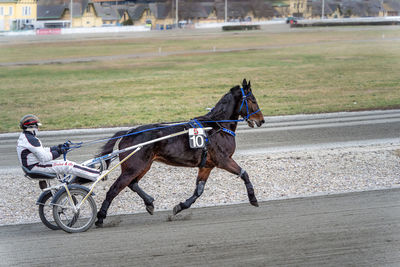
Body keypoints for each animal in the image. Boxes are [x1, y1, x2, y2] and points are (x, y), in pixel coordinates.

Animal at [95, 78, 266, 227]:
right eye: (252, 100)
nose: (261, 120)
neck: (217, 126)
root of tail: (128, 132)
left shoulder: (206, 166)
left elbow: (199, 190)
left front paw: (180, 206)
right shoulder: (223, 160)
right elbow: (244, 173)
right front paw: (253, 198)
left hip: (144, 165)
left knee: (132, 183)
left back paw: (149, 202)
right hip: (134, 166)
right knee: (115, 189)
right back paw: (100, 217)